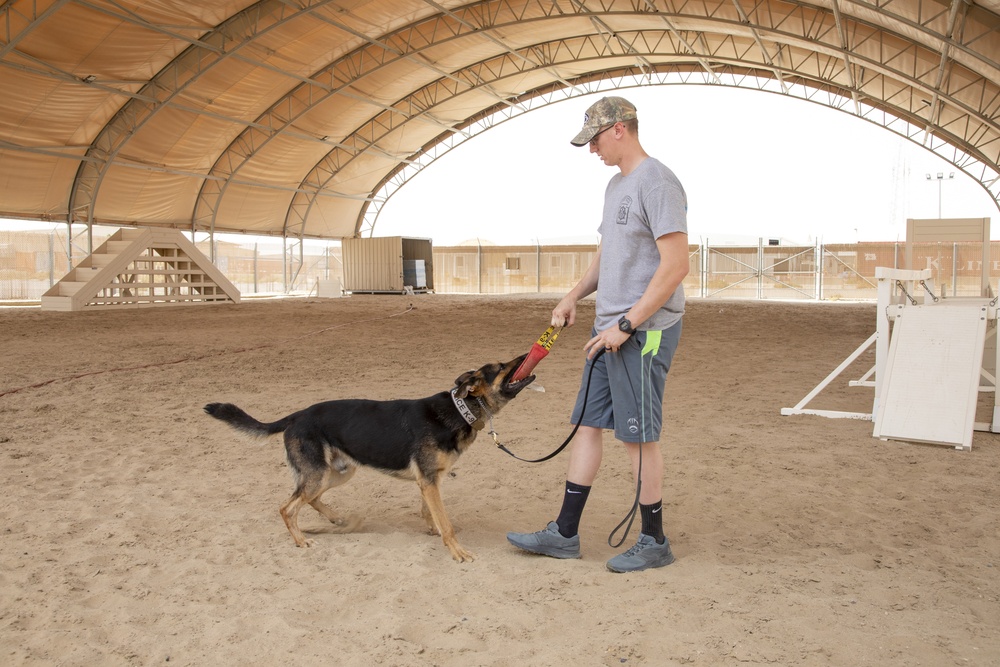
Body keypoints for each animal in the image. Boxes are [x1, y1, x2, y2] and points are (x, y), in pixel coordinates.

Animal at [201, 354, 532, 564]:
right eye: (500, 366)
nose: (524, 355)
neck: (459, 408)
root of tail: (295, 416)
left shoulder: (429, 481)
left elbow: (429, 512)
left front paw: (433, 530)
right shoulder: (429, 481)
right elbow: (445, 522)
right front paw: (457, 552)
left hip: (337, 473)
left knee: (308, 499)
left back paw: (336, 519)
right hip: (319, 474)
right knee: (287, 507)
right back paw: (301, 540)